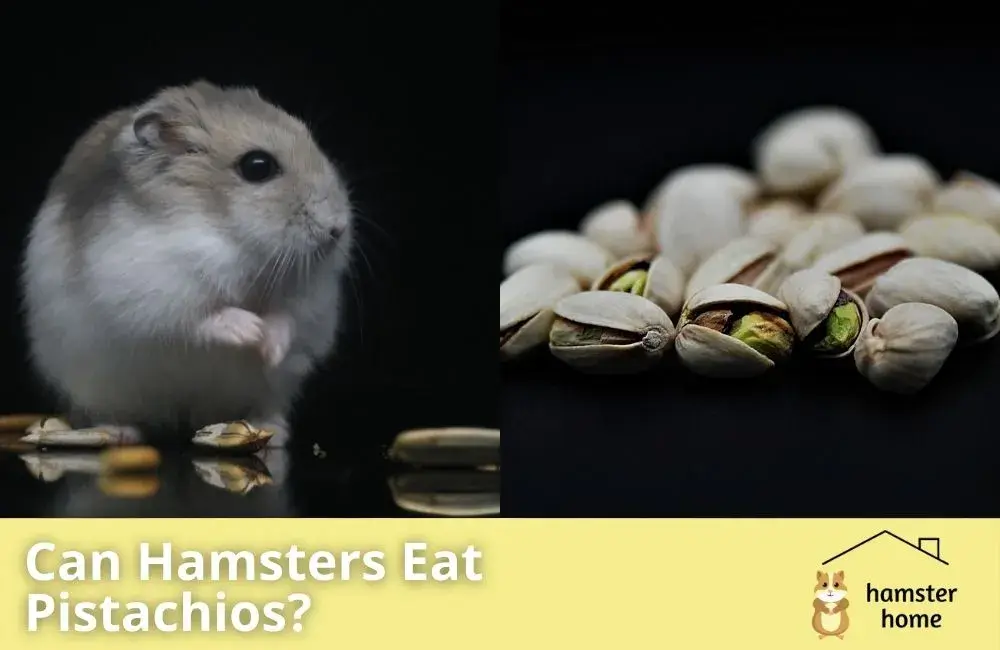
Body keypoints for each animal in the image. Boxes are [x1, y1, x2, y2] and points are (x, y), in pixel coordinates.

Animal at [21, 80, 354, 449]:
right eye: (258, 166)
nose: (338, 228)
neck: (230, 233)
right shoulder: (154, 290)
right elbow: (200, 318)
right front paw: (251, 330)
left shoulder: (312, 297)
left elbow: (289, 316)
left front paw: (271, 346)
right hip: (94, 383)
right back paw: (119, 433)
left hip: (273, 387)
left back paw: (273, 432)